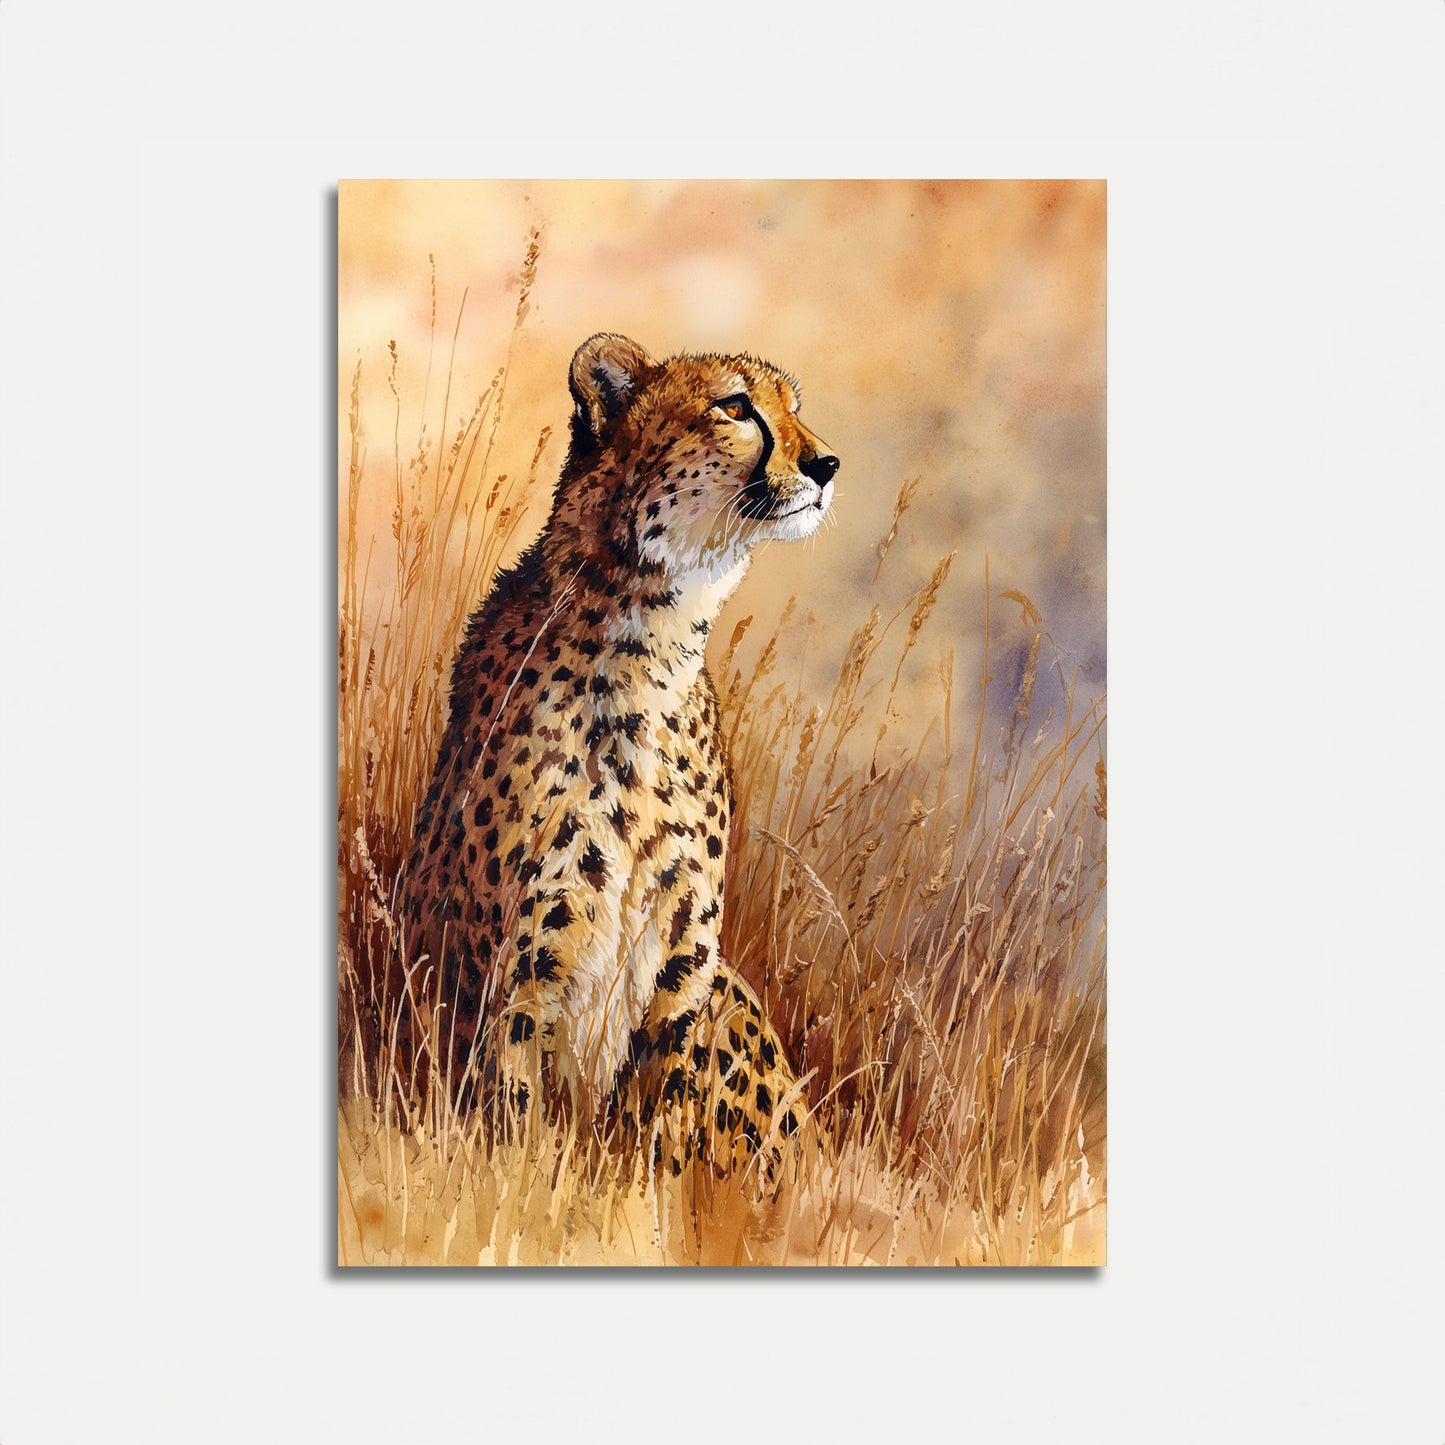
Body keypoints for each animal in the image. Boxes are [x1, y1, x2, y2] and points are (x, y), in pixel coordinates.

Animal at [393, 332, 839, 1183]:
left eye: (794, 407)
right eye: (736, 406)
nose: (827, 463)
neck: (648, 638)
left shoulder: (684, 961)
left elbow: (652, 1135)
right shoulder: (519, 968)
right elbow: (516, 1128)